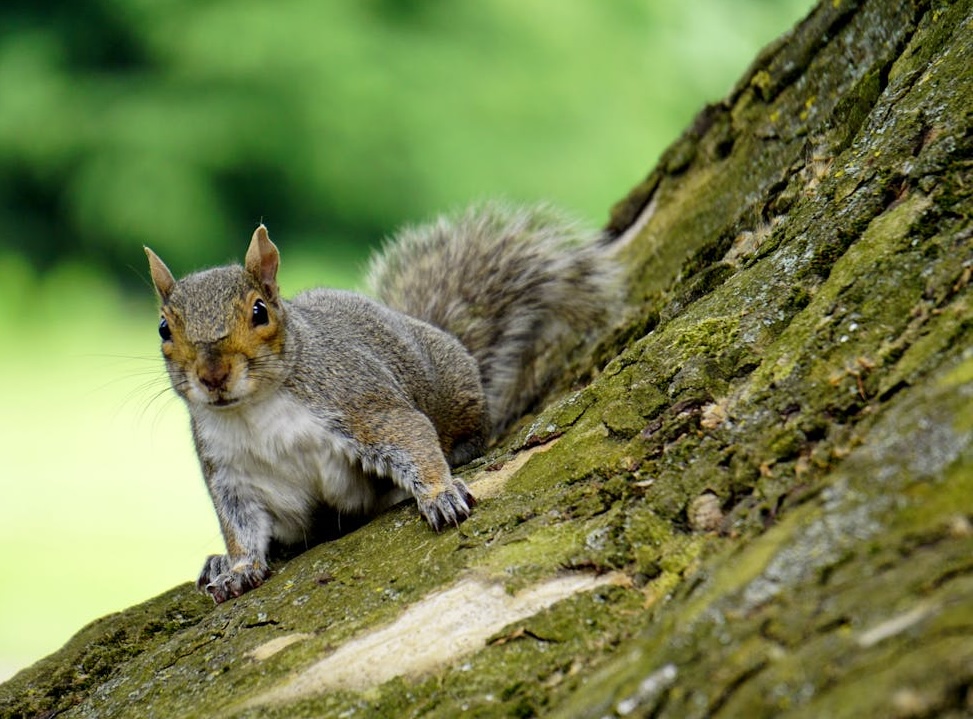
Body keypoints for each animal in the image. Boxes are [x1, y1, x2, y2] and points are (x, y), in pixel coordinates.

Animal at [145, 202, 619, 603]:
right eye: (164, 328)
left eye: (260, 311)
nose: (212, 376)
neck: (255, 411)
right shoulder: (231, 473)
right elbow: (240, 526)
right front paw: (239, 568)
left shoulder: (359, 402)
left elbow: (411, 435)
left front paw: (440, 495)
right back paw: (217, 562)